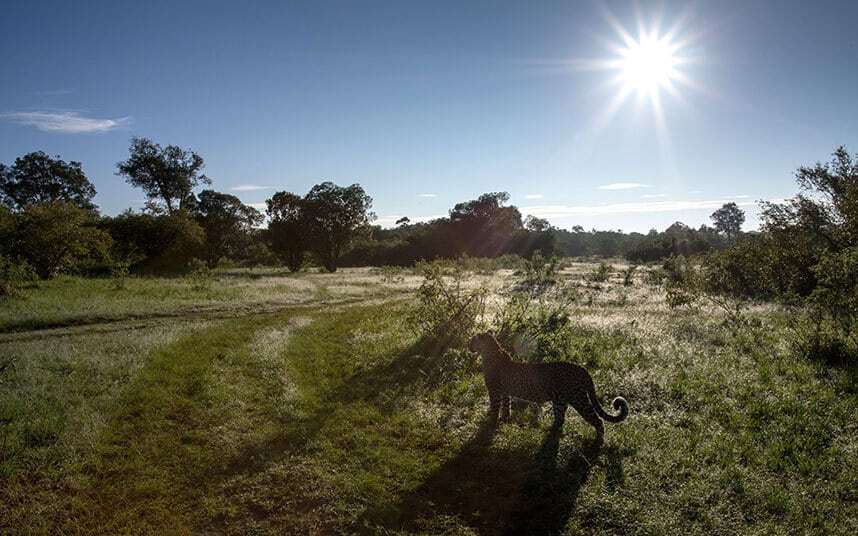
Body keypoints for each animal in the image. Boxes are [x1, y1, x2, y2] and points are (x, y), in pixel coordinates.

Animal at [468, 330, 628, 440]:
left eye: (473, 339)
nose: (468, 345)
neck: (490, 351)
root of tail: (582, 368)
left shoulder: (494, 391)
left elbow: (495, 408)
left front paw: (490, 424)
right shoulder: (505, 392)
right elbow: (506, 406)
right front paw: (504, 419)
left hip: (578, 399)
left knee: (598, 420)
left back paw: (598, 442)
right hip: (560, 400)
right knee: (560, 418)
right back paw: (550, 431)